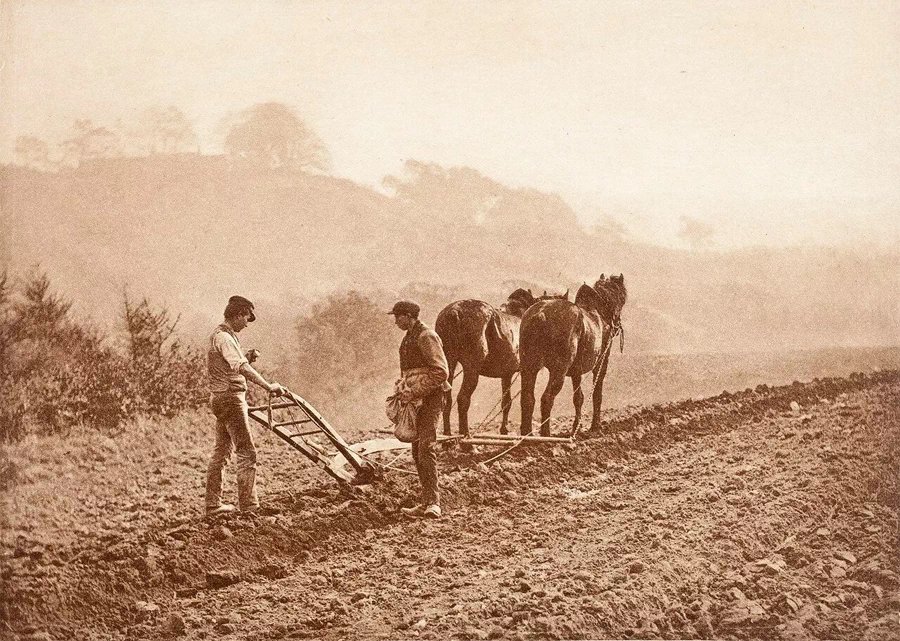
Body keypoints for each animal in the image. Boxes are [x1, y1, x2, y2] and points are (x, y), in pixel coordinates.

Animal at [432, 288, 568, 438]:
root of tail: (454, 313)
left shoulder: (507, 373)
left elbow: (506, 402)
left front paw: (504, 430)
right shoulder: (524, 371)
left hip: (449, 363)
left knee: (446, 398)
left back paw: (447, 431)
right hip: (471, 368)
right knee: (463, 398)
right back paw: (465, 433)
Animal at [516, 272, 628, 438]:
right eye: (622, 297)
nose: (617, 325)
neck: (598, 311)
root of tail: (540, 314)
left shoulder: (576, 371)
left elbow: (578, 397)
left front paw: (576, 428)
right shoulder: (601, 362)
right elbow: (596, 394)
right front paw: (595, 426)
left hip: (529, 367)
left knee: (527, 398)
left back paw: (527, 435)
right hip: (559, 371)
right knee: (547, 398)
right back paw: (545, 435)